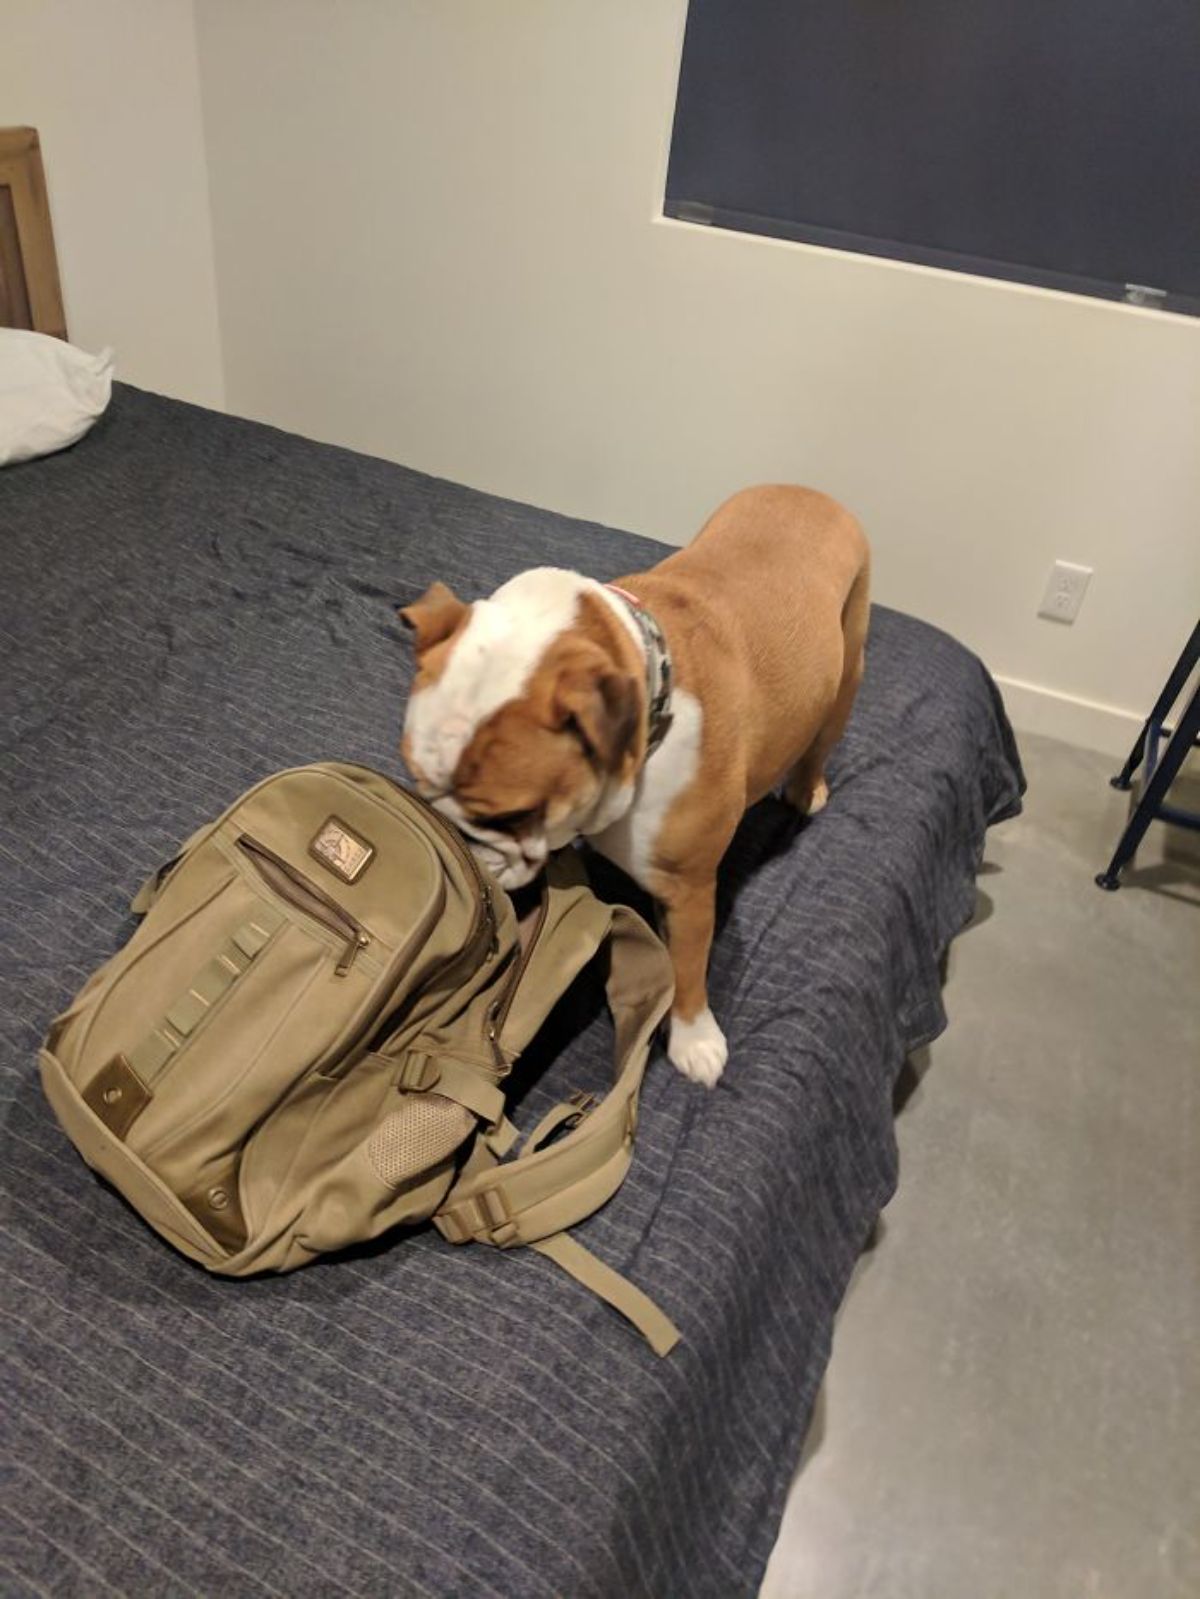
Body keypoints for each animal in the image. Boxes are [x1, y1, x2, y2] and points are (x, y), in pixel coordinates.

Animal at [404, 482, 876, 1087]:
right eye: (418, 782)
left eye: (511, 816)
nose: (457, 837)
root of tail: (810, 492)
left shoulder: (692, 889)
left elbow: (690, 968)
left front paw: (695, 1039)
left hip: (848, 667)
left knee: (821, 739)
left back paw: (804, 790)